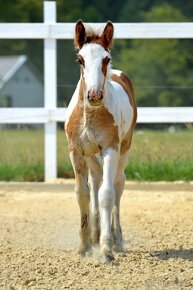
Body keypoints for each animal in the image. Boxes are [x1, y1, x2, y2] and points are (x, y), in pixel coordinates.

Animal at [65, 19, 137, 262]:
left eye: (106, 59)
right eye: (80, 59)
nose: (94, 95)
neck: (91, 114)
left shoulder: (110, 150)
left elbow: (107, 195)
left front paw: (106, 249)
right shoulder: (76, 152)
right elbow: (83, 194)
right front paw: (85, 246)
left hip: (124, 151)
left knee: (117, 185)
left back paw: (117, 240)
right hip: (91, 157)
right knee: (95, 181)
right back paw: (96, 235)